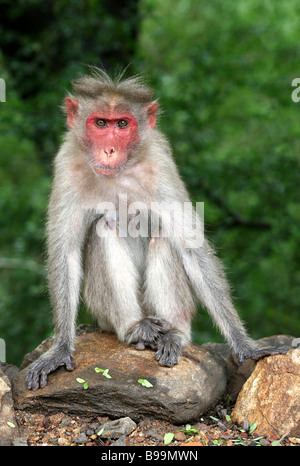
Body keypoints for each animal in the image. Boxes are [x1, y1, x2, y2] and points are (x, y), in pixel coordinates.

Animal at [25, 68, 288, 390]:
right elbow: (67, 254)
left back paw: (174, 335)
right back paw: (135, 329)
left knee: (164, 238)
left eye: (122, 124)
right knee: (104, 228)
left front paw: (245, 345)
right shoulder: (67, 164)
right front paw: (60, 348)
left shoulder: (159, 162)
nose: (109, 149)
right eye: (100, 123)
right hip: (103, 314)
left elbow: (190, 247)